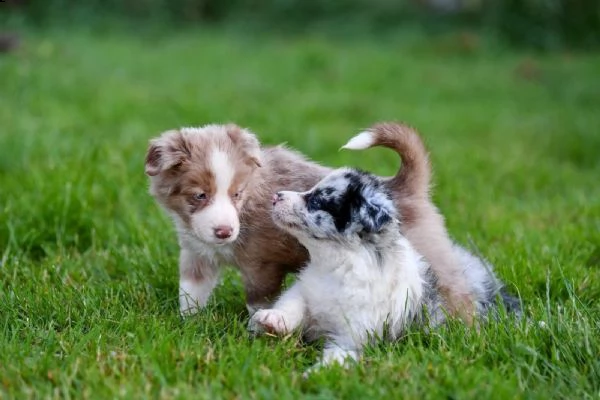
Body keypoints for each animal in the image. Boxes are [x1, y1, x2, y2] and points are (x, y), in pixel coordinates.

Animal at [143, 122, 476, 322]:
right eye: (200, 195)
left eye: (237, 193)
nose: (224, 232)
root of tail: (401, 185)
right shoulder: (196, 253)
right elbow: (190, 291)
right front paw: (189, 323)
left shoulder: (262, 265)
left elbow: (258, 301)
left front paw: (256, 327)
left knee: (458, 290)